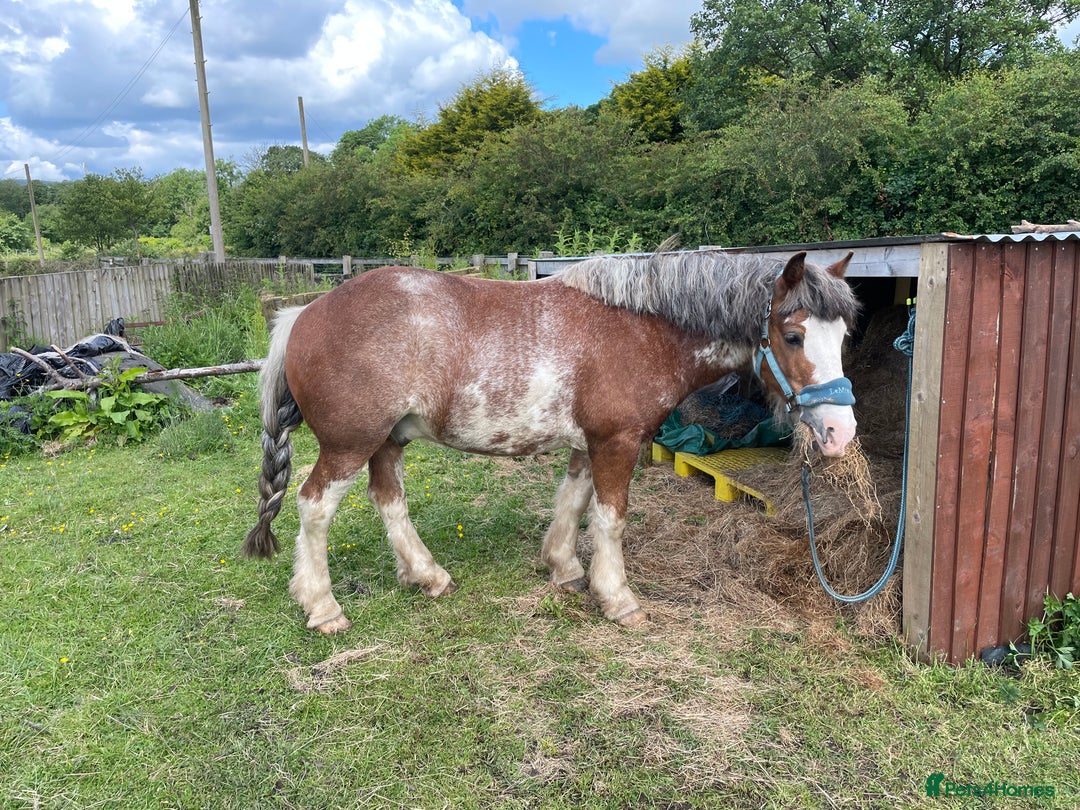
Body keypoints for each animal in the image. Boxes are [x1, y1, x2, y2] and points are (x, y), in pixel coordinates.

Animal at [242, 249, 859, 633]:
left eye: (844, 335)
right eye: (792, 335)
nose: (840, 432)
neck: (641, 329)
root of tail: (304, 313)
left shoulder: (590, 443)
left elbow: (574, 500)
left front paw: (563, 567)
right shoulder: (617, 442)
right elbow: (610, 518)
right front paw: (618, 598)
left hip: (387, 442)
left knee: (389, 501)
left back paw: (427, 575)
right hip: (350, 444)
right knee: (314, 507)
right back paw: (322, 606)